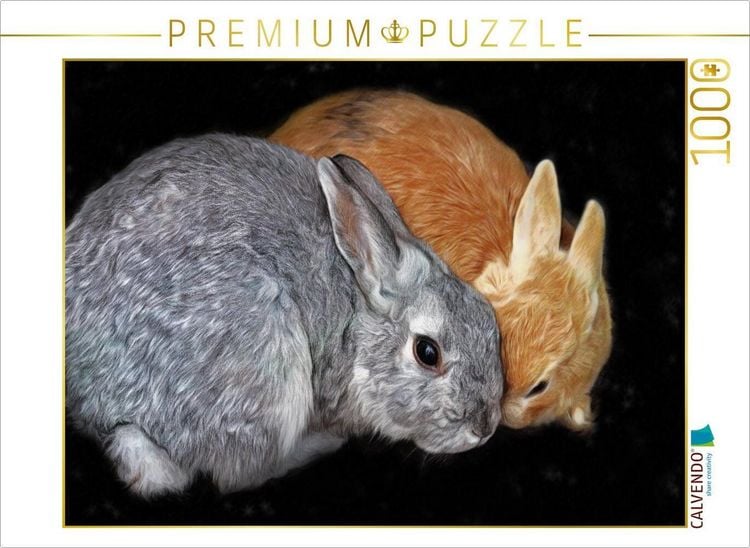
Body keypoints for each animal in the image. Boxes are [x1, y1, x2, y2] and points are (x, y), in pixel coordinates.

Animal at [65, 134, 503, 498]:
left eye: (490, 324)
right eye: (428, 352)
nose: (484, 427)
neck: (355, 314)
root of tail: (105, 411)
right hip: (265, 361)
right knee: (238, 473)